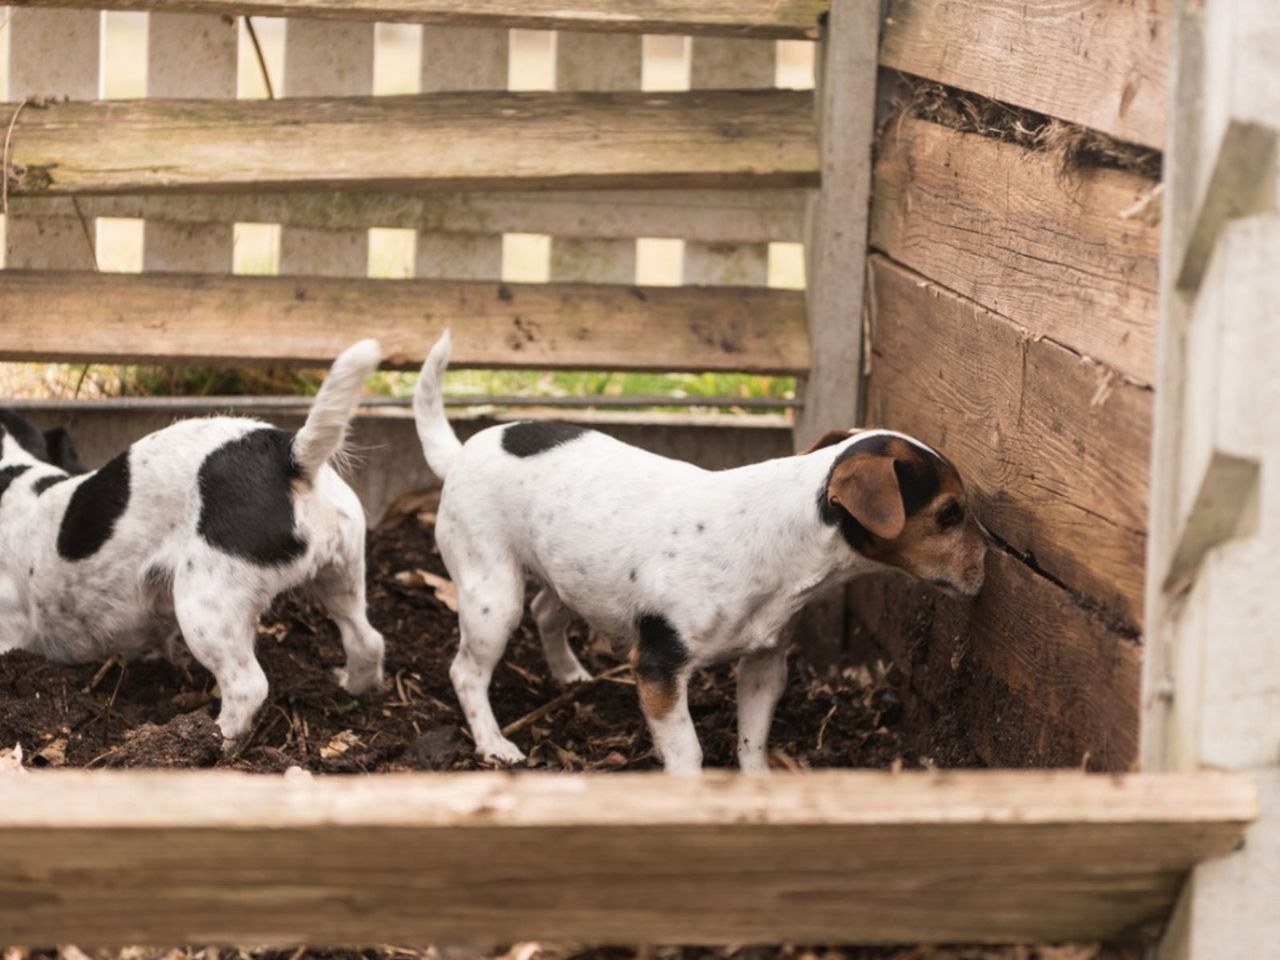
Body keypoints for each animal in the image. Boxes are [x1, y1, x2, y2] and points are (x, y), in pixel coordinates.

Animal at [1, 343, 389, 747]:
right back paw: (350, 690)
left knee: (248, 686)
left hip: (205, 607)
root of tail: (289, 454)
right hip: (341, 572)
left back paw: (211, 742)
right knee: (367, 641)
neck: (15, 474)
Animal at [414, 330, 983, 773]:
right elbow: (687, 751)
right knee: (467, 672)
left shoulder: (764, 663)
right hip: (491, 595)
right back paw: (494, 744)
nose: (987, 564)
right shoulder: (659, 668)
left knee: (546, 611)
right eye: (950, 514)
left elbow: (752, 741)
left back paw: (569, 673)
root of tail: (459, 454)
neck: (780, 535)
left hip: (567, 572)